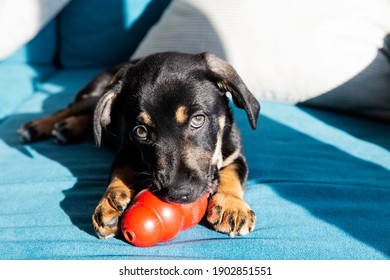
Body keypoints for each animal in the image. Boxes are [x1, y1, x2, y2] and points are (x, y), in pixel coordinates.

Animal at [19, 52, 262, 238]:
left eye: (198, 119)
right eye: (141, 131)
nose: (177, 194)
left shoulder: (236, 154)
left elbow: (232, 174)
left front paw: (231, 206)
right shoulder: (126, 148)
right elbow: (119, 171)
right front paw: (110, 201)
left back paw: (67, 128)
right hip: (94, 97)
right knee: (72, 108)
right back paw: (38, 126)